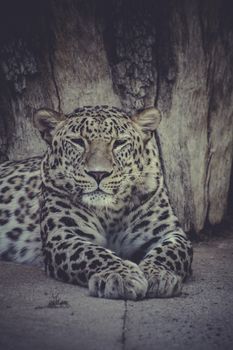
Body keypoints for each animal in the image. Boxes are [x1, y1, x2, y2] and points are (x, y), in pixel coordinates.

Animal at [0, 105, 193, 300]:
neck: (111, 211)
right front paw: (120, 276)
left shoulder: (169, 232)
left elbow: (169, 252)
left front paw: (158, 274)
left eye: (119, 143)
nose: (98, 173)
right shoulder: (63, 235)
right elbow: (92, 253)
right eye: (78, 142)